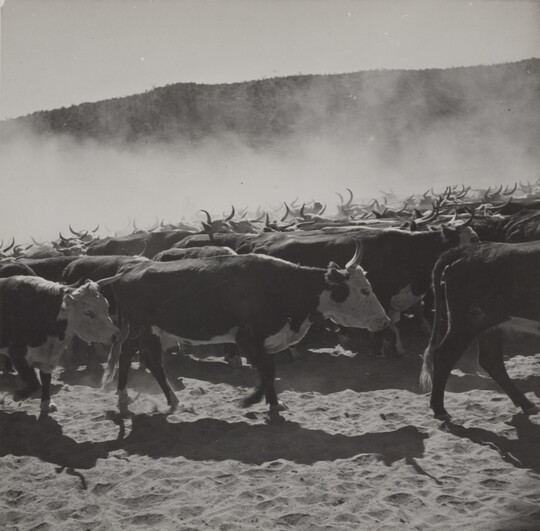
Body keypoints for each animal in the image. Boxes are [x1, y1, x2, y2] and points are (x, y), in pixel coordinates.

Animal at [0, 276, 119, 412]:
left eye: (107, 306)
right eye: (89, 313)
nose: (116, 334)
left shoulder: (48, 357)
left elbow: (45, 380)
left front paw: (46, 403)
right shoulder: (18, 355)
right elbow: (34, 384)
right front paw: (18, 394)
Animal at [99, 245, 390, 415]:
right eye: (364, 290)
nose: (385, 321)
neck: (282, 285)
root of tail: (128, 270)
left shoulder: (264, 341)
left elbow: (269, 371)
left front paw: (274, 402)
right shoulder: (247, 338)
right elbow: (268, 371)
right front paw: (251, 401)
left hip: (140, 331)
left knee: (126, 354)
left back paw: (123, 396)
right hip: (148, 331)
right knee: (153, 363)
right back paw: (174, 401)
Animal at [420, 241, 540, 419]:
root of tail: (468, 250)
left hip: (487, 325)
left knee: (491, 360)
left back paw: (526, 404)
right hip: (466, 322)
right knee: (444, 355)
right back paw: (439, 409)